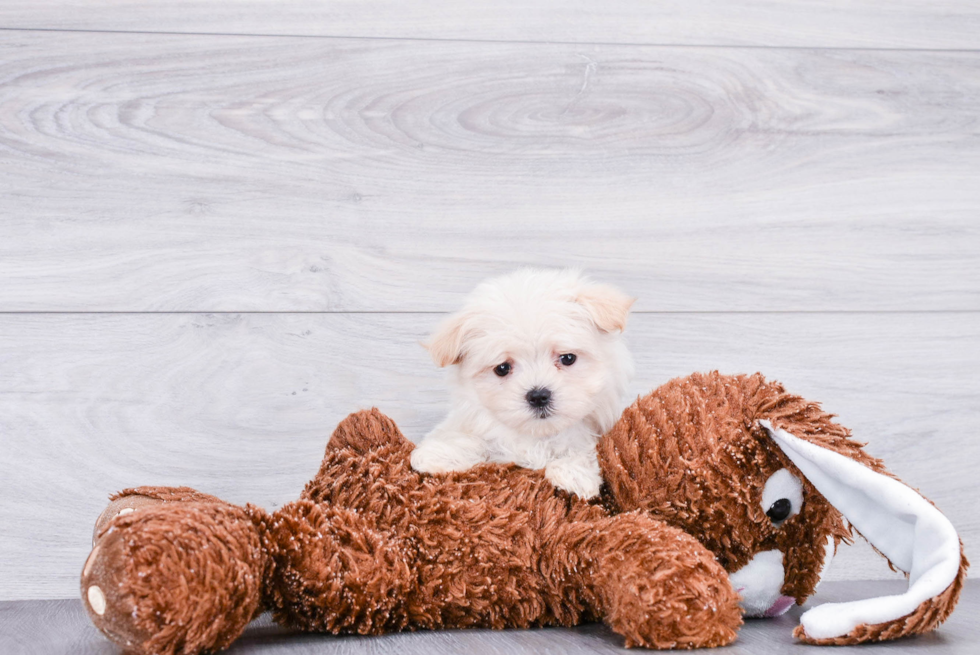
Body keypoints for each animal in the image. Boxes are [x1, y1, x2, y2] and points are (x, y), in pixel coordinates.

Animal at [408, 270, 632, 500]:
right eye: (502, 368)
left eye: (568, 358)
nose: (538, 396)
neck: (539, 437)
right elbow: (476, 442)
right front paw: (438, 453)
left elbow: (586, 449)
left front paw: (573, 474)